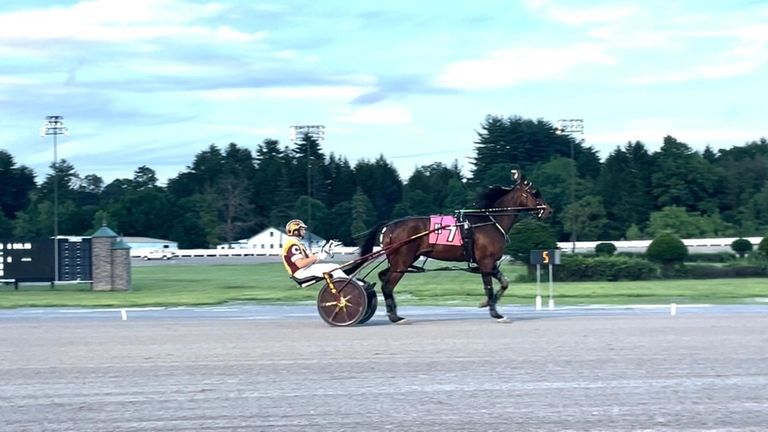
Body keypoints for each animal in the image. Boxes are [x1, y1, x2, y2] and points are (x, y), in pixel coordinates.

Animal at [356, 171, 548, 324]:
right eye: (534, 193)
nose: (549, 210)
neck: (490, 221)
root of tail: (390, 225)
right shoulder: (485, 261)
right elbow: (489, 287)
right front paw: (496, 314)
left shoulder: (490, 263)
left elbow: (504, 283)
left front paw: (486, 303)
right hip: (402, 262)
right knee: (387, 286)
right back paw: (395, 317)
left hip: (399, 262)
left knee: (383, 277)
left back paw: (393, 312)